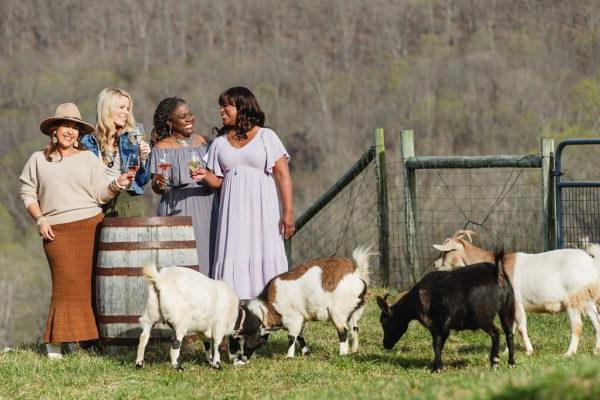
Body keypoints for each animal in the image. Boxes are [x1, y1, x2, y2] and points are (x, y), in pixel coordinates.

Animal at [137, 264, 268, 370]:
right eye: (257, 343)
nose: (246, 360)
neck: (235, 316)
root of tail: (159, 280)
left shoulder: (202, 329)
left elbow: (207, 345)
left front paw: (210, 361)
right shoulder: (219, 327)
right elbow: (217, 344)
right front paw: (217, 364)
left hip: (150, 315)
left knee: (144, 337)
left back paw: (139, 363)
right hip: (180, 321)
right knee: (175, 342)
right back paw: (177, 366)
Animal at [244, 245, 376, 358]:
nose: (242, 357)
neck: (270, 305)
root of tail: (356, 273)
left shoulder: (294, 317)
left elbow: (292, 337)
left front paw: (289, 356)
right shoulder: (302, 318)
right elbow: (300, 336)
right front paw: (306, 353)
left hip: (337, 311)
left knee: (343, 331)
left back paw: (342, 354)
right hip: (353, 312)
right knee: (354, 329)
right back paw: (354, 351)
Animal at [378, 250, 512, 372]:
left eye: (383, 322)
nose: (385, 344)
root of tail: (497, 273)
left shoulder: (435, 325)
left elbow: (436, 345)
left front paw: (437, 368)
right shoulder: (445, 327)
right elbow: (440, 345)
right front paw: (436, 366)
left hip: (481, 316)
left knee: (496, 332)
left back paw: (494, 363)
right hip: (507, 309)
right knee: (509, 333)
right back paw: (511, 363)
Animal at [434, 231, 600, 356]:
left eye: (446, 251)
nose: (435, 265)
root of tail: (590, 263)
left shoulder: (517, 302)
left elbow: (520, 327)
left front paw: (529, 351)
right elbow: (510, 327)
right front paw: (506, 352)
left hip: (573, 300)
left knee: (577, 326)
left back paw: (569, 353)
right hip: (587, 299)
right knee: (597, 322)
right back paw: (595, 350)